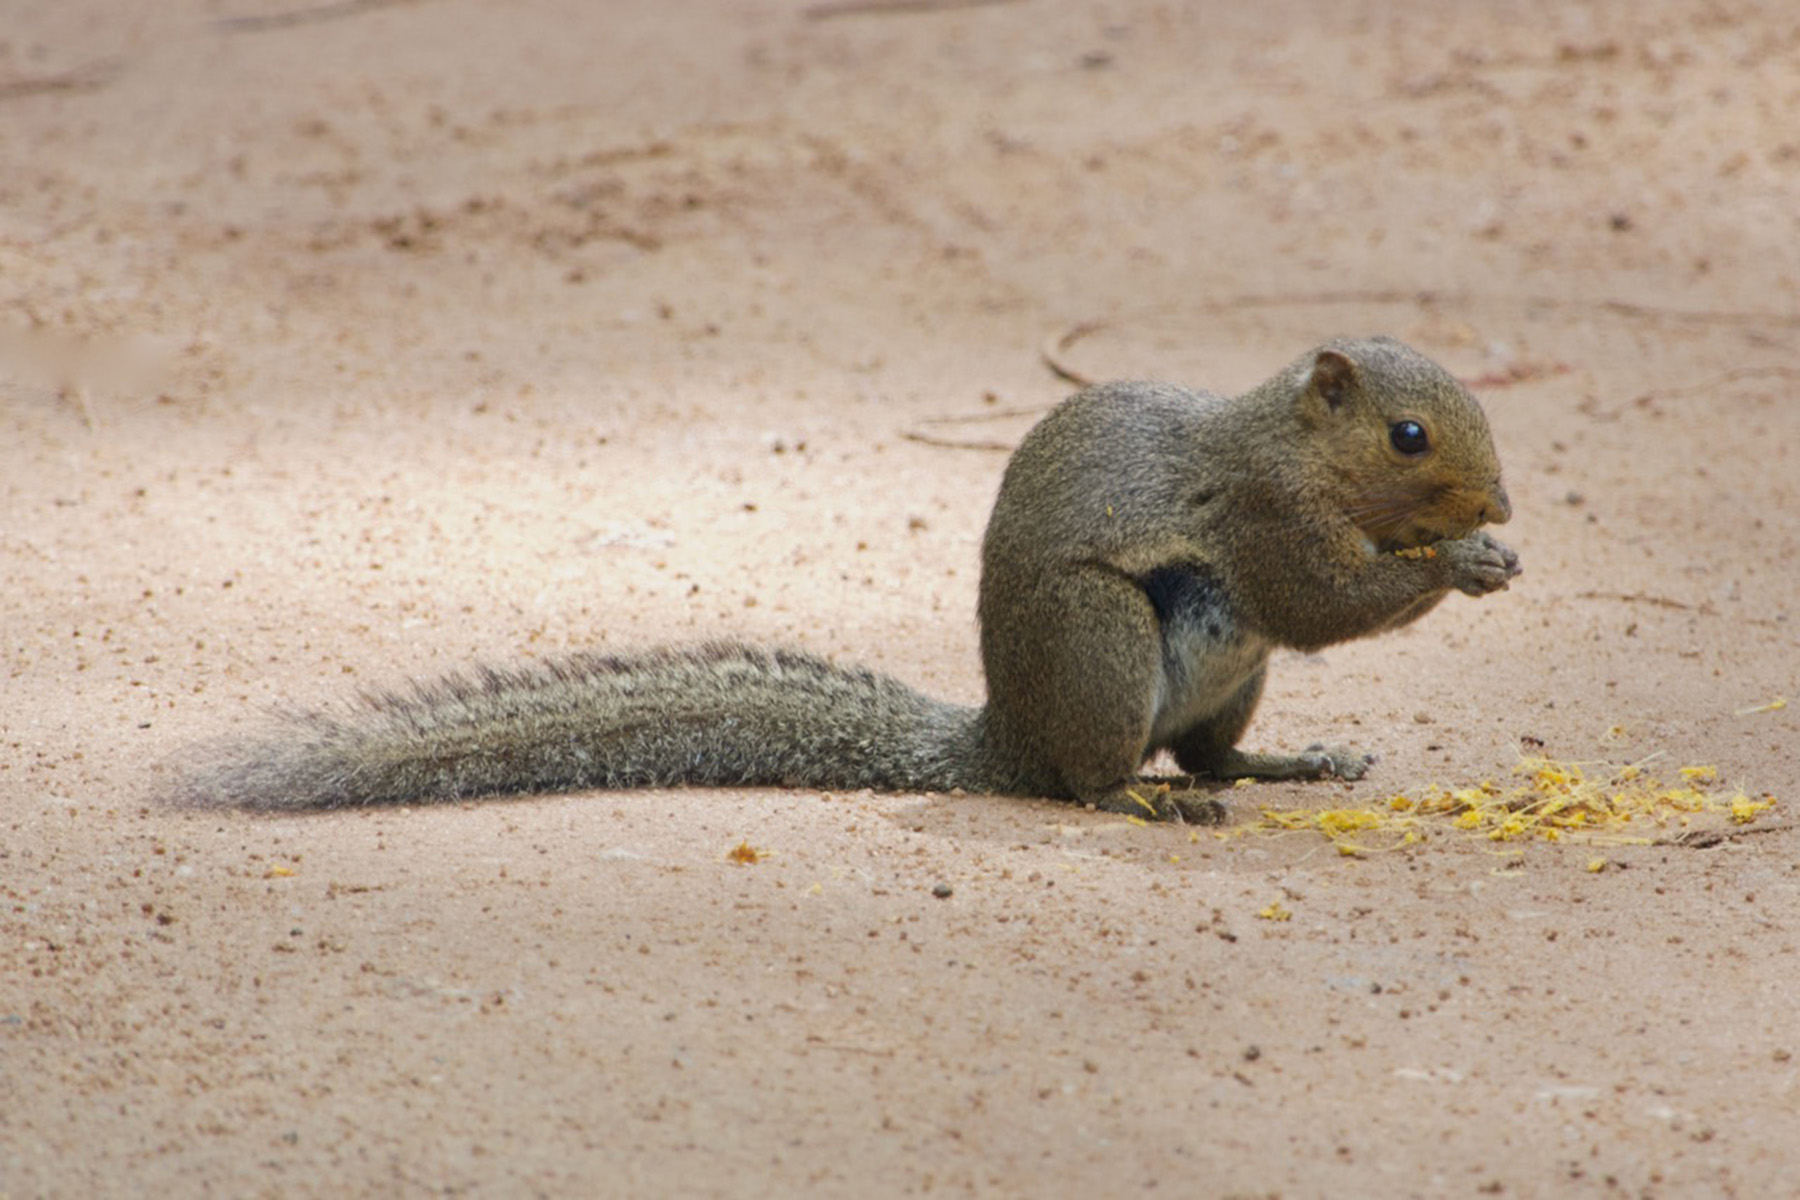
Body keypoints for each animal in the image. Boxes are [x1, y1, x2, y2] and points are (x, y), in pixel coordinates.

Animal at [176, 335, 1519, 821]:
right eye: (1409, 437)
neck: (1290, 447)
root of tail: (1005, 739)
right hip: (1103, 641)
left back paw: (1284, 763)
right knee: (1097, 780)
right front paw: (1464, 562)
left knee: (1208, 750)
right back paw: (1135, 799)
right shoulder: (1262, 519)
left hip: (1227, 680)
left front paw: (1493, 553)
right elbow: (1322, 603)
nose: (1502, 505)